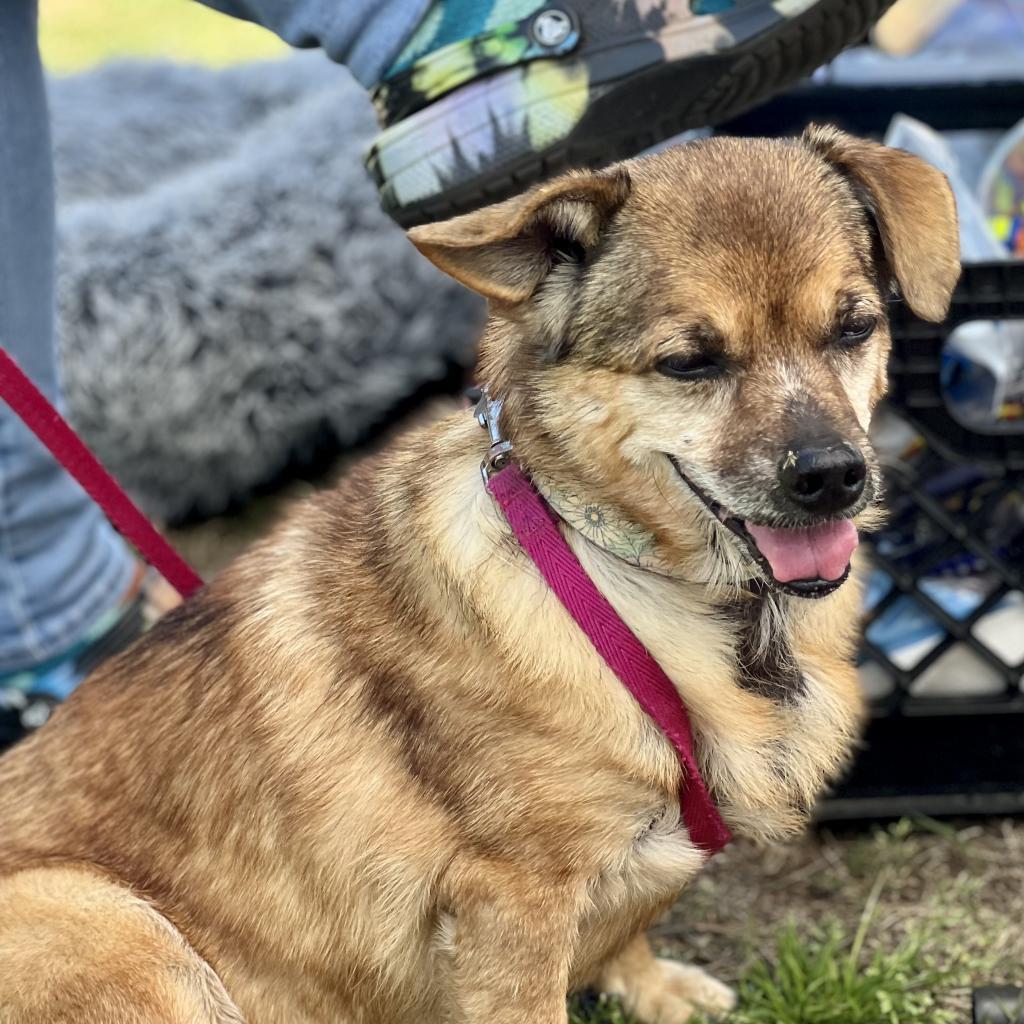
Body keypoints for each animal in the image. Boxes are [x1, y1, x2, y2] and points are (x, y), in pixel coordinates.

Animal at [0, 128, 958, 1024]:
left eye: (854, 328)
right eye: (689, 362)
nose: (835, 477)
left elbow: (630, 929)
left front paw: (651, 988)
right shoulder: (512, 903)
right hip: (121, 929)